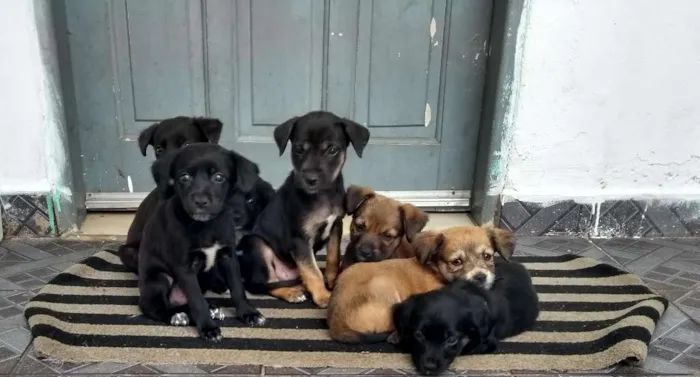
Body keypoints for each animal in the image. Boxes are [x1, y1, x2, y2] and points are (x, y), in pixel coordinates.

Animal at [137, 142, 266, 340]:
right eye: (184, 177)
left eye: (219, 177)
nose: (200, 201)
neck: (206, 225)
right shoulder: (185, 268)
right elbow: (197, 301)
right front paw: (208, 328)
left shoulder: (228, 257)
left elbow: (238, 288)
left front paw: (248, 313)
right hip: (159, 277)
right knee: (152, 305)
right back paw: (177, 316)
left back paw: (211, 308)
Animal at [239, 110, 372, 306]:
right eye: (299, 149)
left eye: (332, 150)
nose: (310, 179)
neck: (323, 195)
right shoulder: (300, 239)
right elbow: (313, 271)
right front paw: (323, 296)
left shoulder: (336, 226)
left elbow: (333, 256)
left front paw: (332, 281)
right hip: (257, 245)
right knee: (263, 283)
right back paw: (290, 292)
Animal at [326, 223, 516, 344]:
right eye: (456, 262)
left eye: (487, 256)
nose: (480, 277)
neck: (437, 271)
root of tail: (335, 321)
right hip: (385, 287)